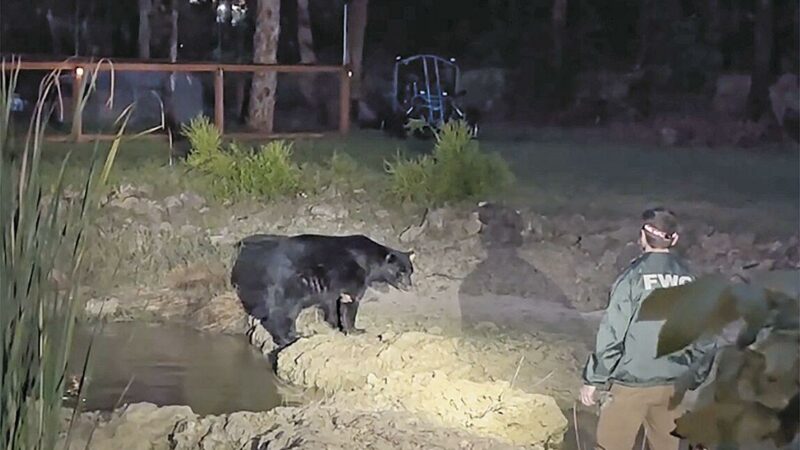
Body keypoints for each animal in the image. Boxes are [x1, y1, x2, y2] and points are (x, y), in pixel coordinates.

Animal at [228, 236, 416, 352]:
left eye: (410, 271)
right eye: (400, 272)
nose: (409, 286)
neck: (371, 263)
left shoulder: (332, 288)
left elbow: (332, 304)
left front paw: (334, 324)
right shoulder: (353, 279)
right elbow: (350, 304)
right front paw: (355, 330)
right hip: (289, 287)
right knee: (281, 315)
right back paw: (294, 337)